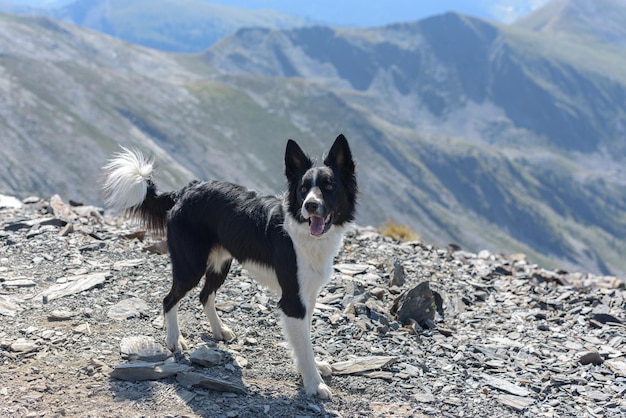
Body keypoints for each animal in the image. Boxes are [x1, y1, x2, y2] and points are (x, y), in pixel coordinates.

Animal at [101, 135, 356, 398]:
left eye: (329, 186)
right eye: (303, 189)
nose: (310, 205)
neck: (304, 232)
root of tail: (185, 191)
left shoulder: (308, 295)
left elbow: (305, 337)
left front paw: (314, 368)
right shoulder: (292, 300)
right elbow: (304, 344)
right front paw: (314, 384)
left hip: (220, 263)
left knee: (205, 295)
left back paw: (218, 330)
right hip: (190, 267)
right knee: (169, 299)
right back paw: (174, 341)